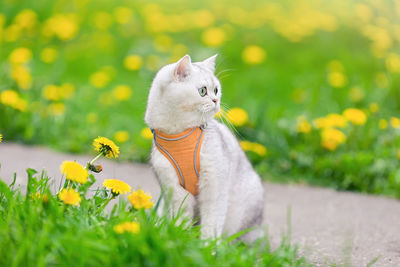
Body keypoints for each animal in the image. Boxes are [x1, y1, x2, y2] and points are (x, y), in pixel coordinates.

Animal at [145, 54, 264, 243]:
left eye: (216, 90)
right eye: (202, 91)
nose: (216, 100)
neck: (180, 134)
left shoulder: (214, 185)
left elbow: (211, 223)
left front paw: (208, 245)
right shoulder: (174, 189)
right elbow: (180, 220)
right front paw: (180, 239)